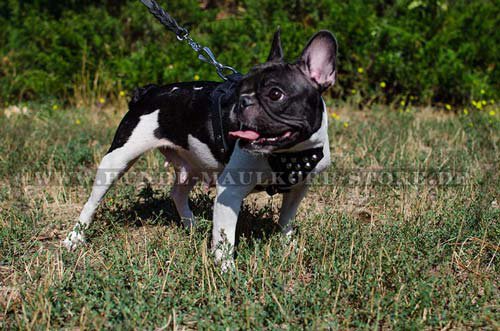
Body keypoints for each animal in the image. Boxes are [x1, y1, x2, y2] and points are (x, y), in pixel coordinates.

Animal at [62, 29, 336, 272]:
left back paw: (191, 225)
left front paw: (288, 245)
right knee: (93, 201)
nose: (242, 101)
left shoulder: (298, 188)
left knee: (178, 192)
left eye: (275, 94)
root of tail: (149, 92)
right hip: (118, 158)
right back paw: (75, 238)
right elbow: (225, 237)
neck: (288, 154)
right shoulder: (230, 192)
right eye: (241, 89)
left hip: (191, 163)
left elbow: (286, 218)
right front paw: (226, 270)